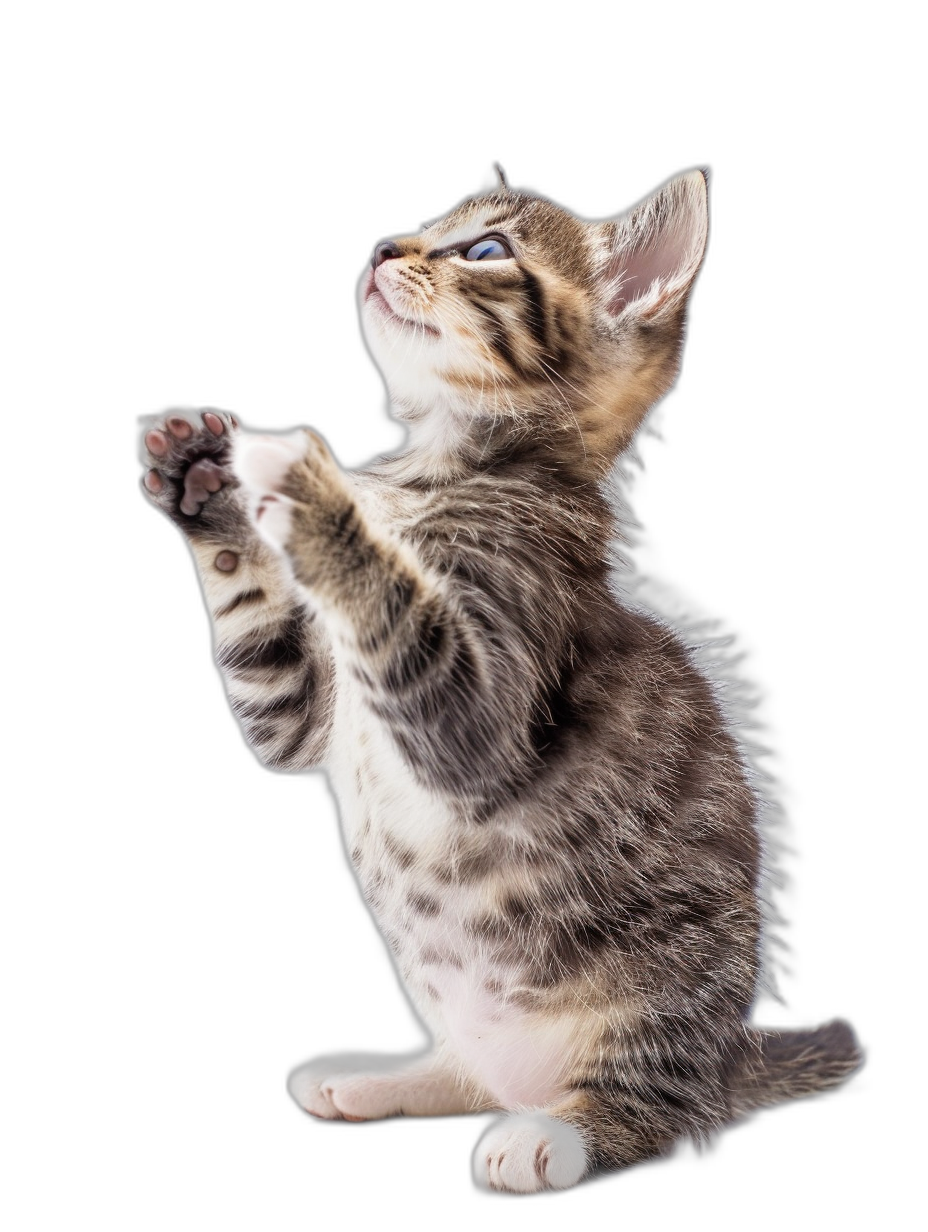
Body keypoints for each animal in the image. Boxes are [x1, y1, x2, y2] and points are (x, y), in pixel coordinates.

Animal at [137, 166, 862, 1192]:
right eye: (425, 229)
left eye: (483, 250)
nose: (383, 250)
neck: (449, 469)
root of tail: (734, 1052)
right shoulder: (305, 713)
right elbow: (262, 649)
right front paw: (206, 485)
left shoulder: (476, 708)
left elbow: (391, 596)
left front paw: (312, 485)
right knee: (477, 1073)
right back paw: (384, 1081)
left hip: (657, 999)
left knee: (660, 1107)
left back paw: (560, 1135)